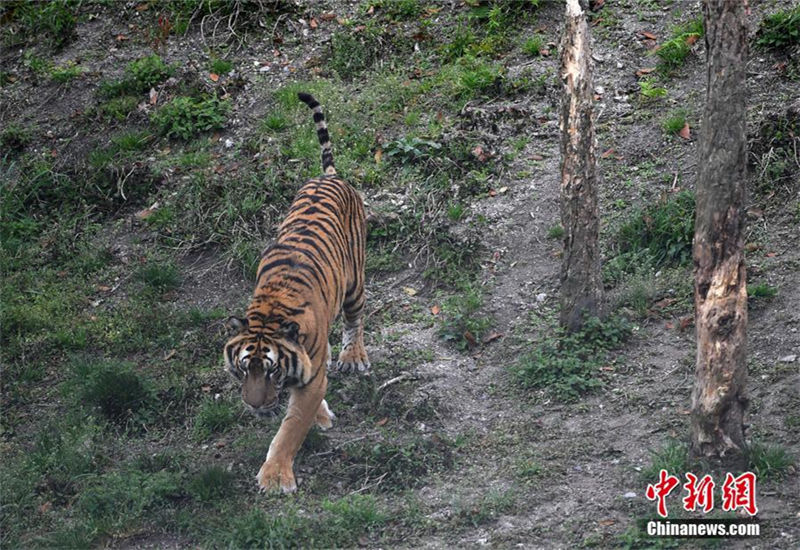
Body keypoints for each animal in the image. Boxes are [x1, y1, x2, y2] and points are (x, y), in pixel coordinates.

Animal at [223, 92, 370, 493]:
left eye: (271, 371)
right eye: (244, 369)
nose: (255, 407)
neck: (269, 313)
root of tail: (328, 176)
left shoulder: (309, 377)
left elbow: (290, 429)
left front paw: (275, 477)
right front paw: (321, 416)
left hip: (354, 282)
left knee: (355, 320)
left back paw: (353, 356)